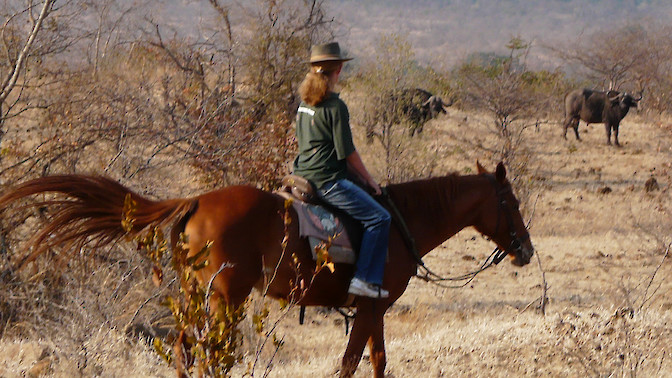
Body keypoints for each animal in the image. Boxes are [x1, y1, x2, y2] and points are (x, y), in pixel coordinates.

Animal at [1, 161, 536, 376]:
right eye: (510, 202)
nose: (526, 250)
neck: (401, 220)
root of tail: (196, 201)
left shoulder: (375, 310)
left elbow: (378, 361)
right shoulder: (369, 310)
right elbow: (350, 363)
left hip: (196, 296)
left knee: (186, 352)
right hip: (226, 298)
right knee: (211, 354)